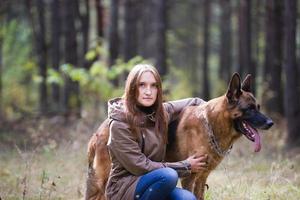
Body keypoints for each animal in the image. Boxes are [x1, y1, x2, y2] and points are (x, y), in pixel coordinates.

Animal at [85, 73, 274, 200]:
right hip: (104, 182)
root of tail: (97, 133)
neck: (211, 124)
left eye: (258, 107)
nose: (271, 123)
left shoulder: (201, 179)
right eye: (249, 109)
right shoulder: (189, 178)